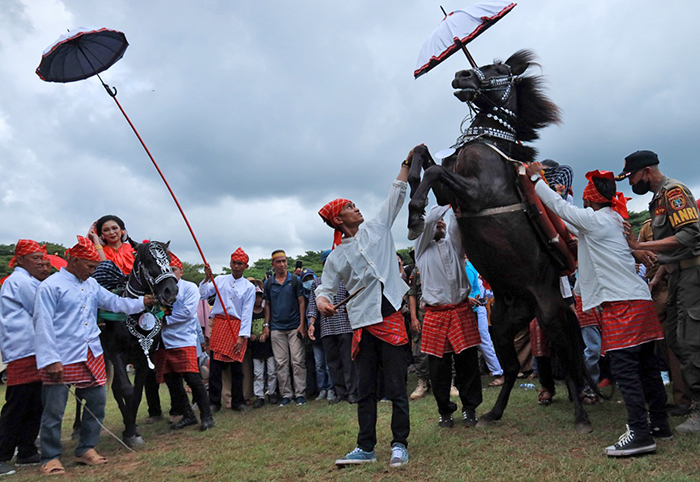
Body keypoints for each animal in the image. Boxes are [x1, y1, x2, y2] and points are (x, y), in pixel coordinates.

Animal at [408, 50, 592, 434]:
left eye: (500, 69)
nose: (461, 75)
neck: (487, 144)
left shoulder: (475, 194)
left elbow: (434, 169)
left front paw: (415, 213)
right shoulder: (451, 193)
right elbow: (423, 155)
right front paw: (413, 197)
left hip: (549, 317)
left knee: (567, 362)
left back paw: (581, 414)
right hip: (502, 326)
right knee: (508, 369)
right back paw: (492, 413)